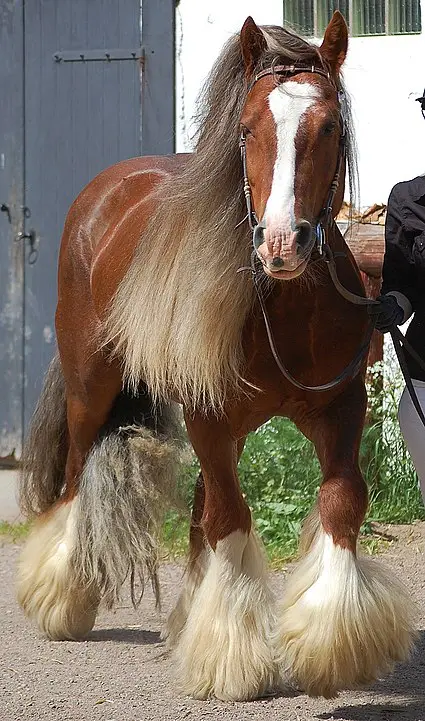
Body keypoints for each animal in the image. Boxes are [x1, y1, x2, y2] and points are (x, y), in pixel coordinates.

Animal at [17, 11, 414, 704]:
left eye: (329, 126)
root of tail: (104, 191)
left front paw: (331, 642)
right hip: (92, 387)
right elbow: (231, 516)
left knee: (202, 500)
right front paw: (232, 657)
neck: (284, 308)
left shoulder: (341, 409)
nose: (282, 243)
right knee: (74, 479)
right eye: (247, 128)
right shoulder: (207, 415)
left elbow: (341, 501)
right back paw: (61, 599)